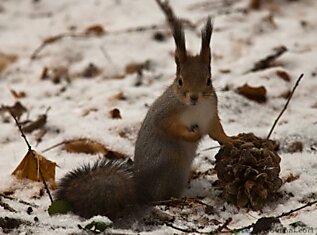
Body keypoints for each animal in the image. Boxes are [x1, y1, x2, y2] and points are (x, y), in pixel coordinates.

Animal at [54, 17, 231, 220]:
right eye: (180, 81)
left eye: (208, 80)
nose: (194, 97)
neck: (195, 108)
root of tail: (140, 191)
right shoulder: (165, 113)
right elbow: (168, 127)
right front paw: (192, 135)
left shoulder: (209, 115)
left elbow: (217, 132)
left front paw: (232, 140)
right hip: (171, 165)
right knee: (162, 196)